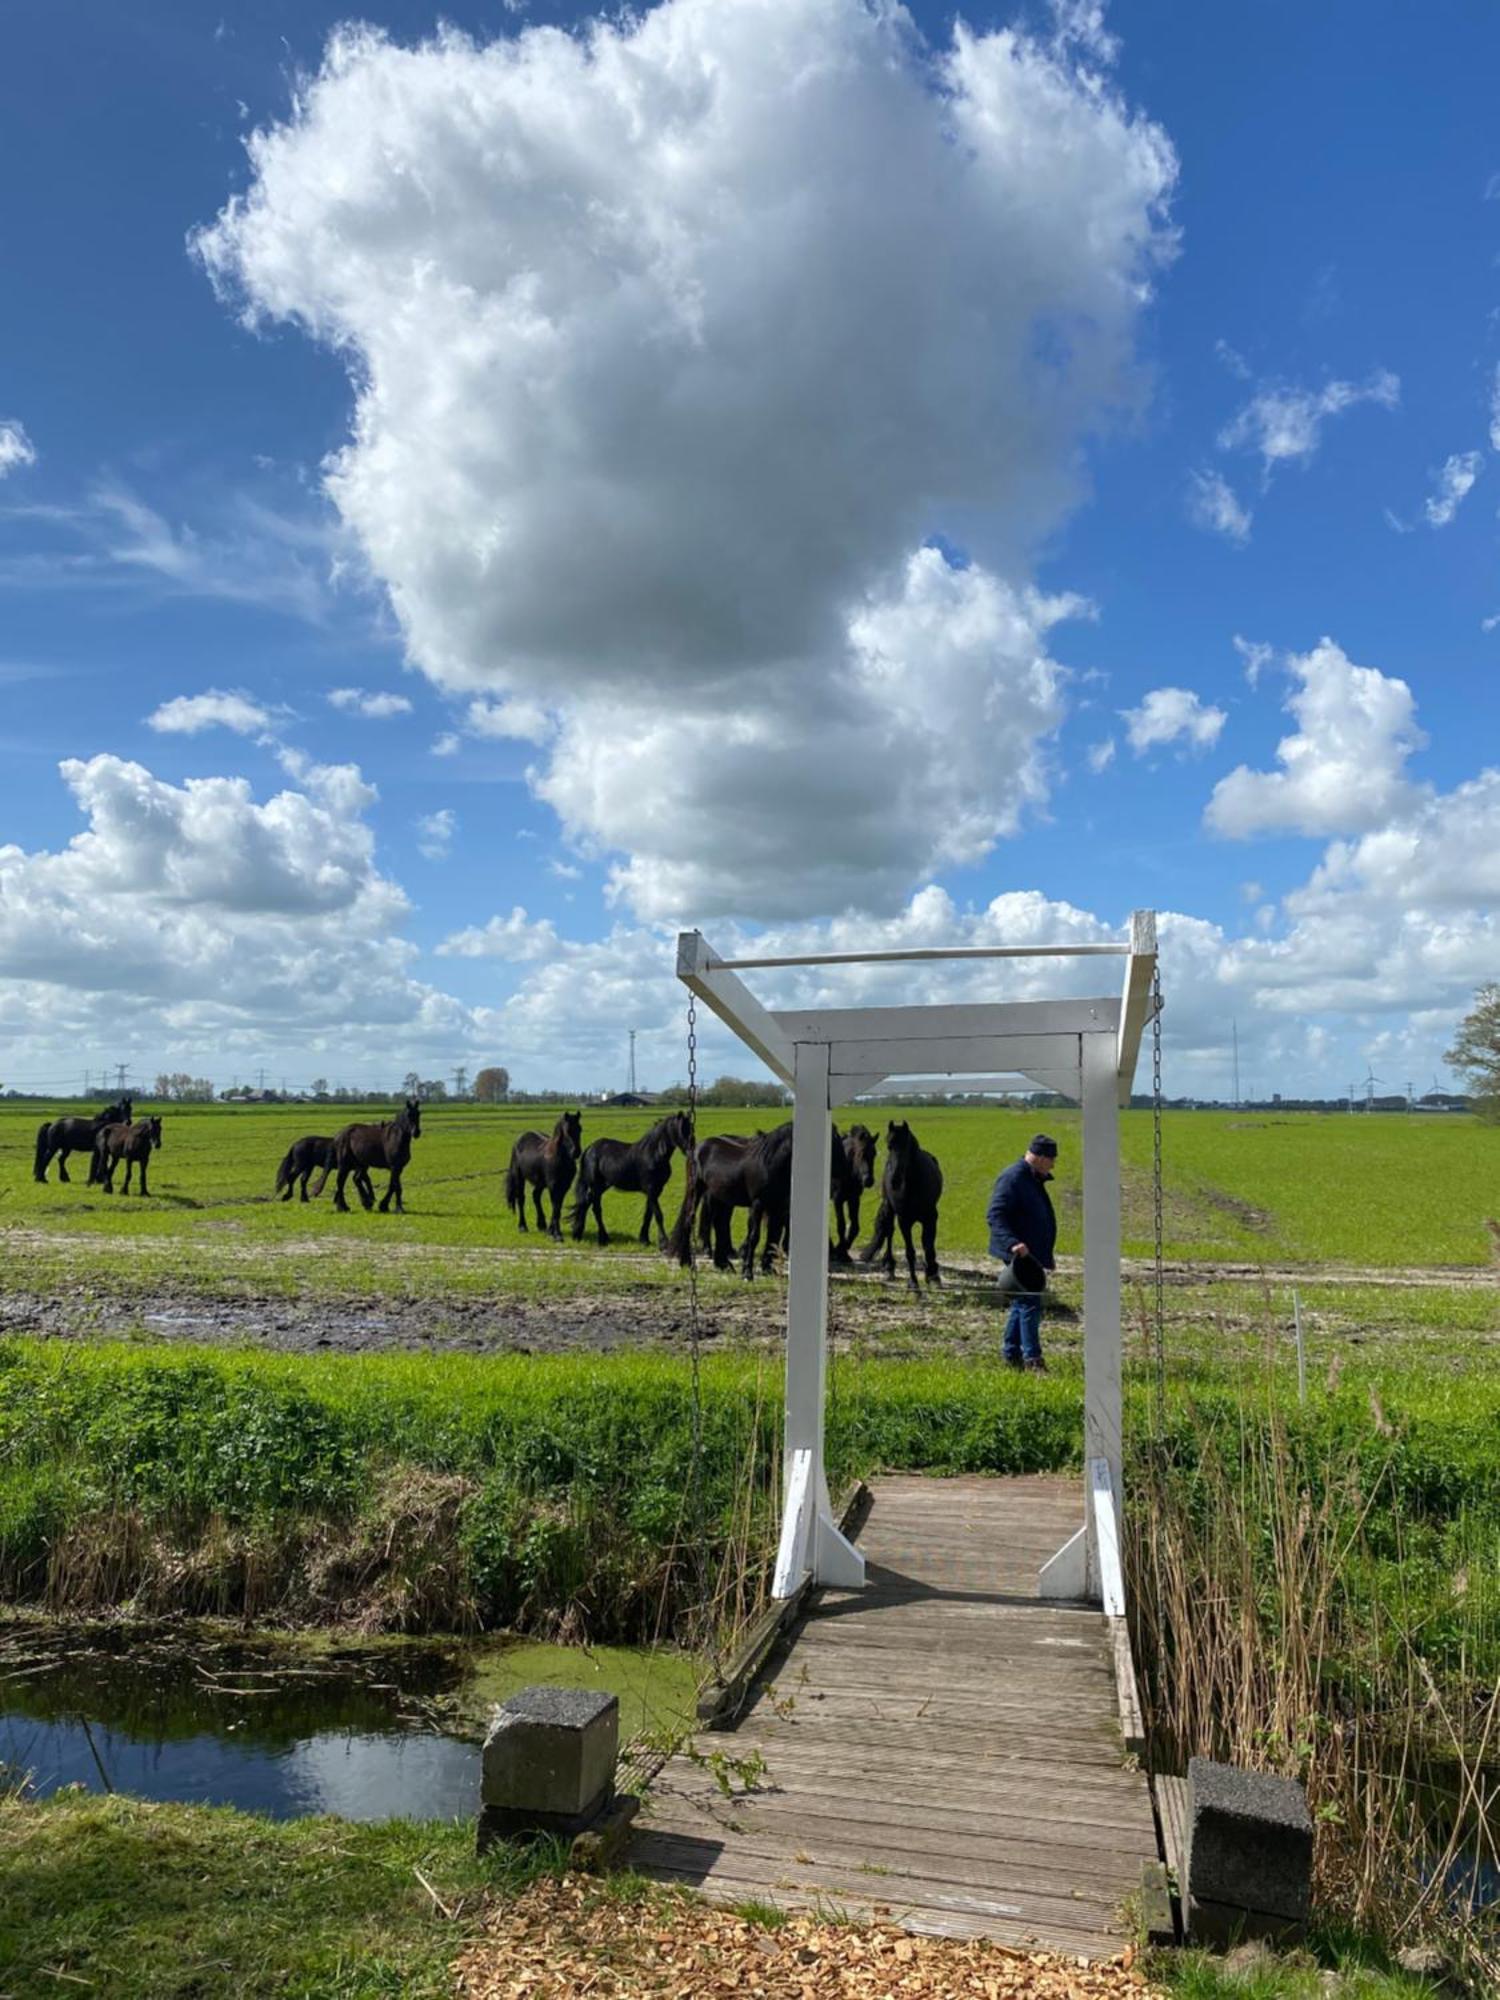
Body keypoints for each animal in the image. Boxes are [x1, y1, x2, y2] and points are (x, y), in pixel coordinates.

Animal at [572, 1112, 696, 1248]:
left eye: (691, 1128)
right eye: (681, 1129)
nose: (691, 1150)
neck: (654, 1154)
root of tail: (589, 1149)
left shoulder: (656, 1190)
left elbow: (648, 1214)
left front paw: (644, 1239)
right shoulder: (651, 1189)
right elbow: (658, 1214)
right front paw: (664, 1242)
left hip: (603, 1186)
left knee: (585, 1203)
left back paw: (578, 1234)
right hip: (595, 1185)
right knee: (596, 1209)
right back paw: (603, 1239)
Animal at [864, 1120, 944, 1288]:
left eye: (905, 1145)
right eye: (889, 1145)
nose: (895, 1180)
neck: (913, 1186)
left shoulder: (930, 1218)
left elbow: (928, 1246)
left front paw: (933, 1275)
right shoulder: (904, 1221)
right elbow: (909, 1251)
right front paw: (913, 1281)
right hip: (890, 1210)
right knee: (889, 1232)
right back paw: (889, 1267)